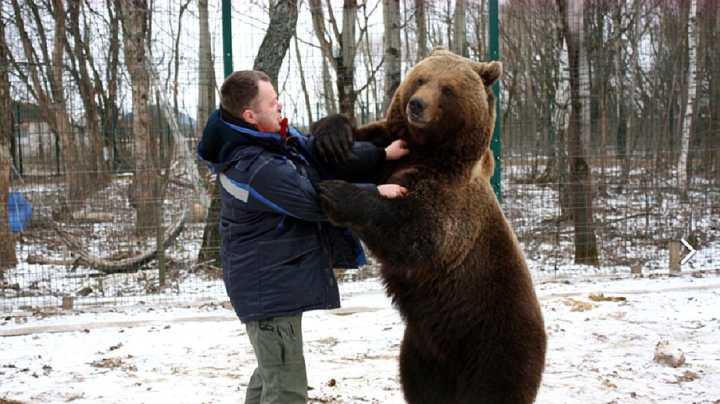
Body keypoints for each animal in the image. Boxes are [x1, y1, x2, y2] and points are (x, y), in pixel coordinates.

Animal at [316, 49, 544, 402]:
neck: (427, 149)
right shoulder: (391, 151)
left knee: (493, 388)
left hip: (495, 341)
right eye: (421, 78)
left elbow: (418, 231)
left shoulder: (452, 200)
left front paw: (338, 193)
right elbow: (358, 145)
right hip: (419, 351)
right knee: (422, 387)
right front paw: (332, 135)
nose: (417, 105)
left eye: (447, 89)